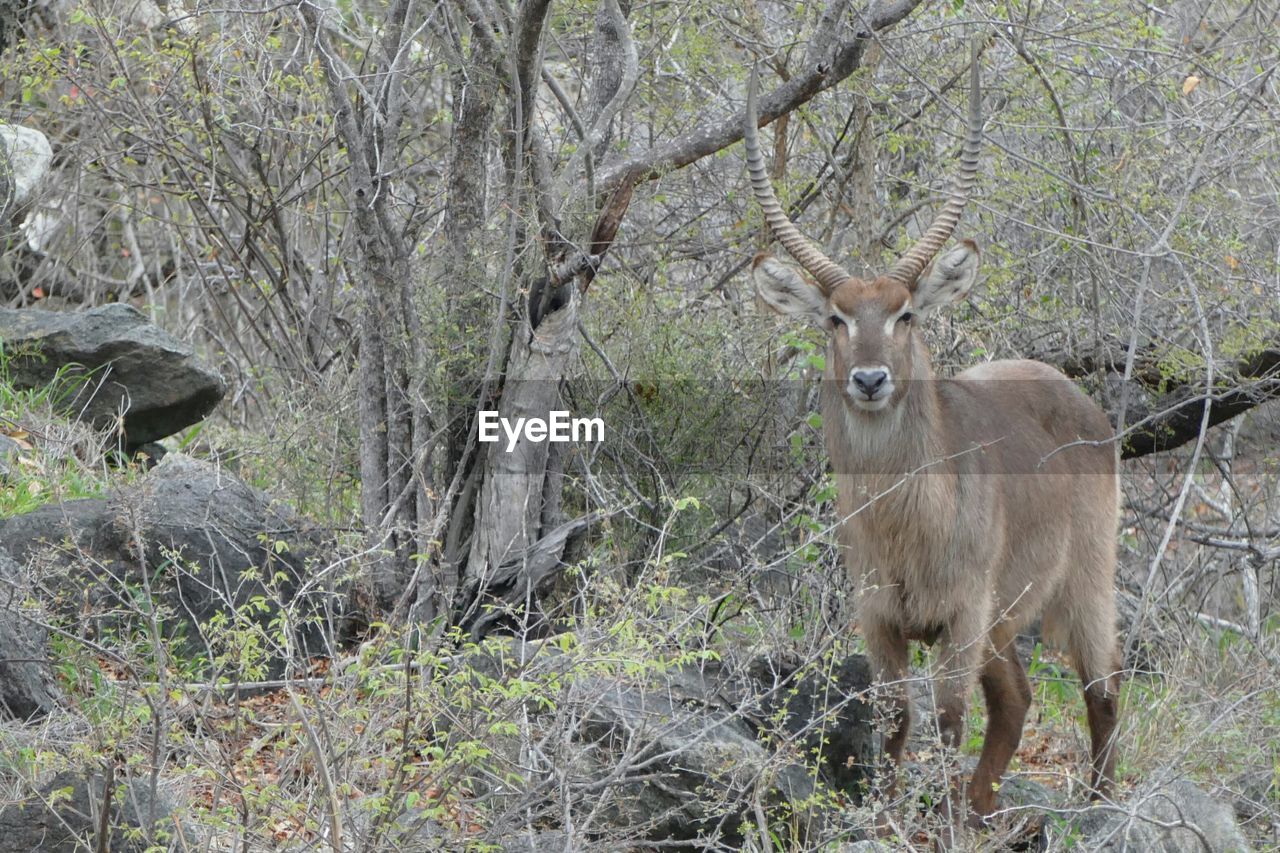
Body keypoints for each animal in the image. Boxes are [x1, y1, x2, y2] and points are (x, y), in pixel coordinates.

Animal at [742, 36, 1121, 819]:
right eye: (836, 318)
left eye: (906, 312)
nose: (870, 379)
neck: (905, 518)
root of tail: (1074, 392)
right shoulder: (879, 616)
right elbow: (895, 712)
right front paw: (888, 816)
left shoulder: (962, 614)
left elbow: (946, 717)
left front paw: (933, 823)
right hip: (1006, 620)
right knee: (1017, 698)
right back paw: (980, 810)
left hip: (1085, 583)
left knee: (1101, 690)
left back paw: (1097, 808)